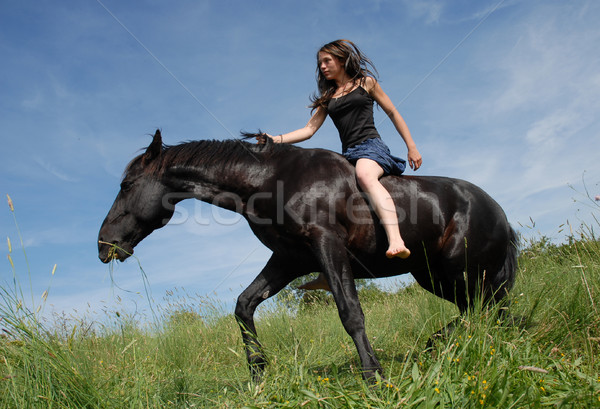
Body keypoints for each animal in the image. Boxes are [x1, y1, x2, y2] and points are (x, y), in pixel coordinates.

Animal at [97, 130, 516, 380]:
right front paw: (258, 373)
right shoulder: (289, 260)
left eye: (126, 185)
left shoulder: (326, 245)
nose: (103, 245)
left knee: (484, 311)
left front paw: (374, 376)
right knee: (479, 313)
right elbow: (244, 306)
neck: (272, 179)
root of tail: (498, 211)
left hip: (462, 274)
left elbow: (350, 313)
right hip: (435, 276)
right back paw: (443, 345)